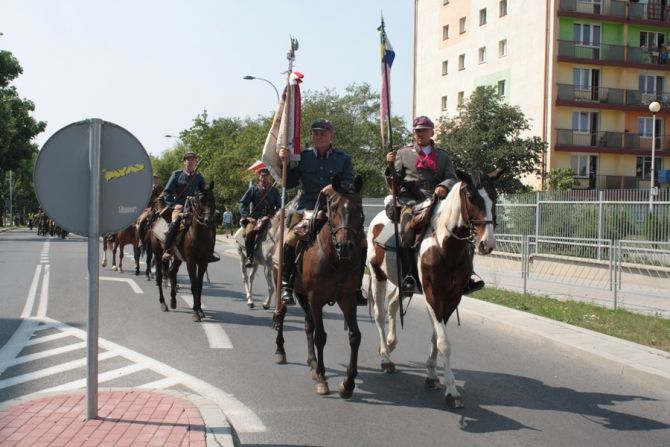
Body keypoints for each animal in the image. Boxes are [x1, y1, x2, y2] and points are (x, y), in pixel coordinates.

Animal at [274, 175, 364, 400]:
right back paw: (280, 351)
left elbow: (355, 336)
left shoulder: (347, 298)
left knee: (308, 325)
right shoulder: (316, 298)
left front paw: (348, 383)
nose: (345, 246)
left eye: (359, 206)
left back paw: (312, 363)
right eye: (333, 206)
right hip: (286, 287)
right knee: (282, 315)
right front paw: (323, 379)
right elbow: (321, 336)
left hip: (303, 294)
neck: (336, 259)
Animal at [368, 168, 504, 410]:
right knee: (379, 314)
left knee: (392, 306)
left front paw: (432, 375)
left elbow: (435, 336)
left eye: (494, 196)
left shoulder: (452, 298)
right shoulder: (433, 295)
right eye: (471, 197)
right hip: (378, 276)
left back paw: (391, 344)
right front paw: (452, 390)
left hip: (403, 284)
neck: (445, 246)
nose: (486, 244)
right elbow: (444, 342)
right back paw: (385, 357)